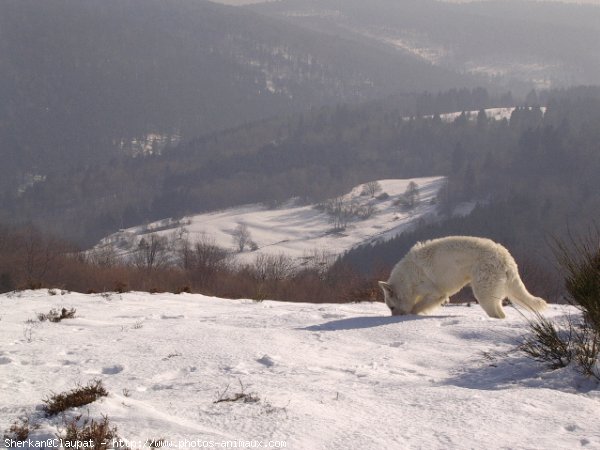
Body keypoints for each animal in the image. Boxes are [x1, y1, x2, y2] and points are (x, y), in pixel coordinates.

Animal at [380, 237, 548, 318]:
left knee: (496, 314)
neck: (407, 279)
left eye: (392, 307)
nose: (393, 318)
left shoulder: (435, 294)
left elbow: (416, 308)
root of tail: (506, 258)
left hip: (483, 294)